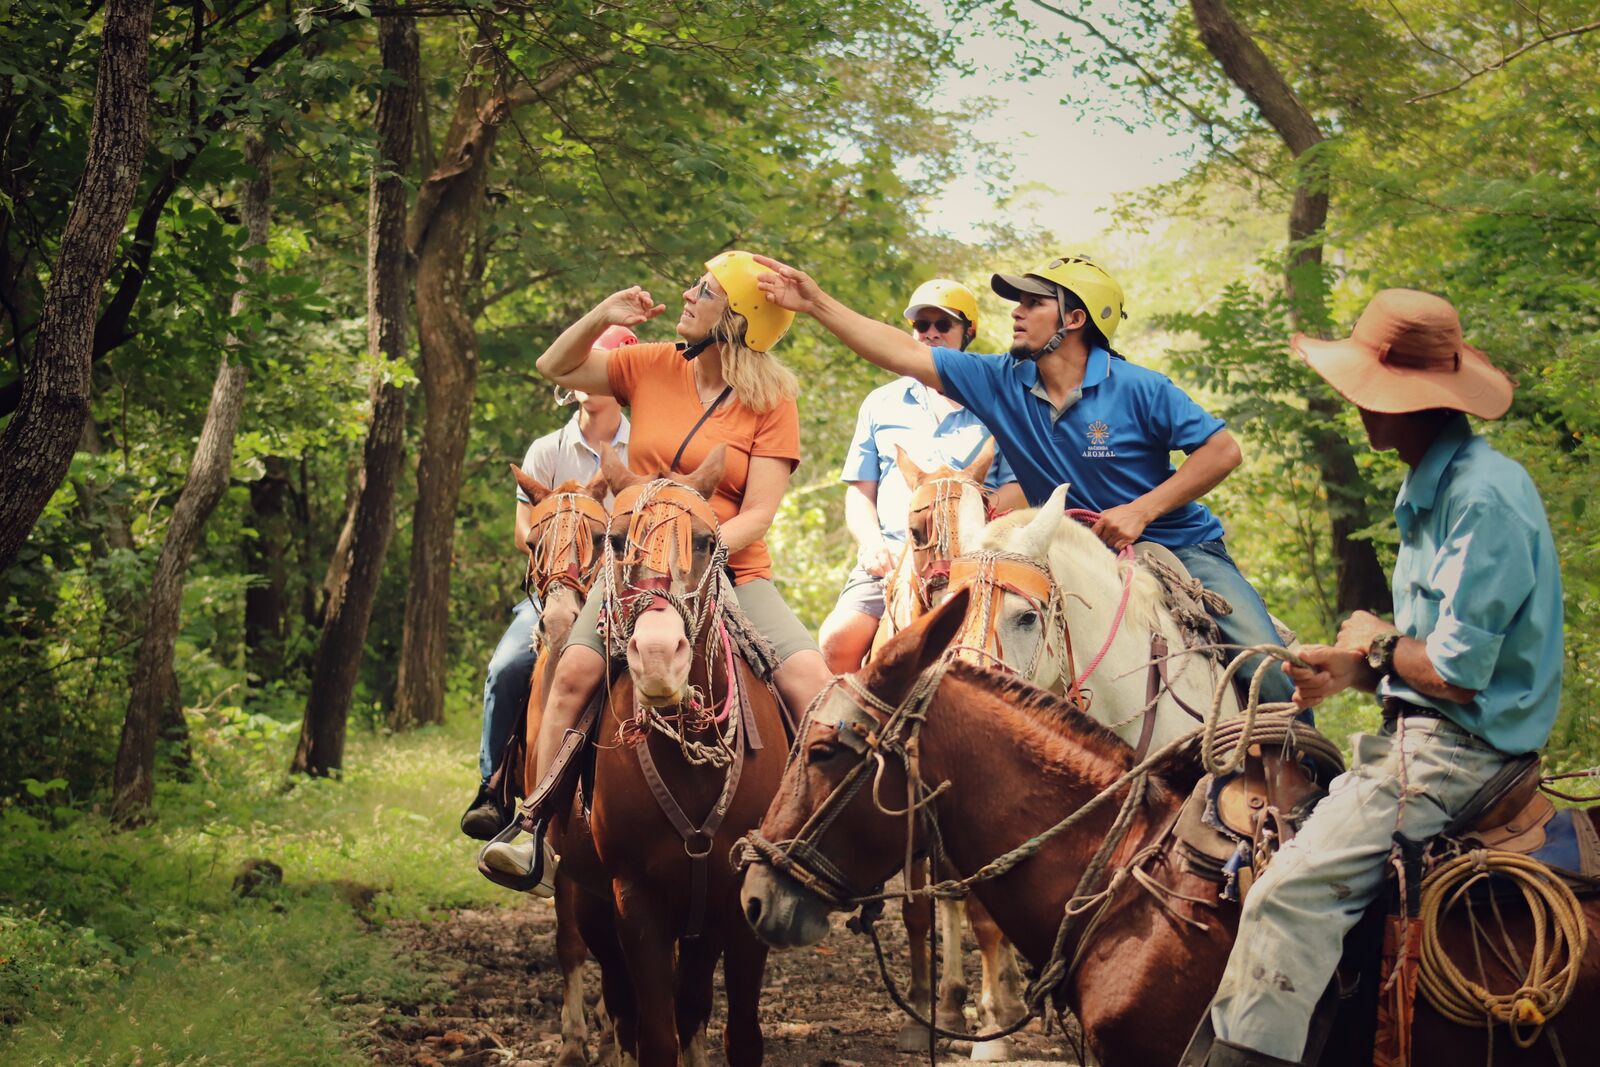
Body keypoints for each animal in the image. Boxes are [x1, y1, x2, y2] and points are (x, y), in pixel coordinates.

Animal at [550, 447, 787, 1062]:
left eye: (704, 541)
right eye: (616, 541)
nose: (658, 657)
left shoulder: (739, 906)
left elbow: (737, 1034)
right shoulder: (635, 904)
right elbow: (654, 1035)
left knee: (691, 1005)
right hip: (591, 903)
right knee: (622, 1007)